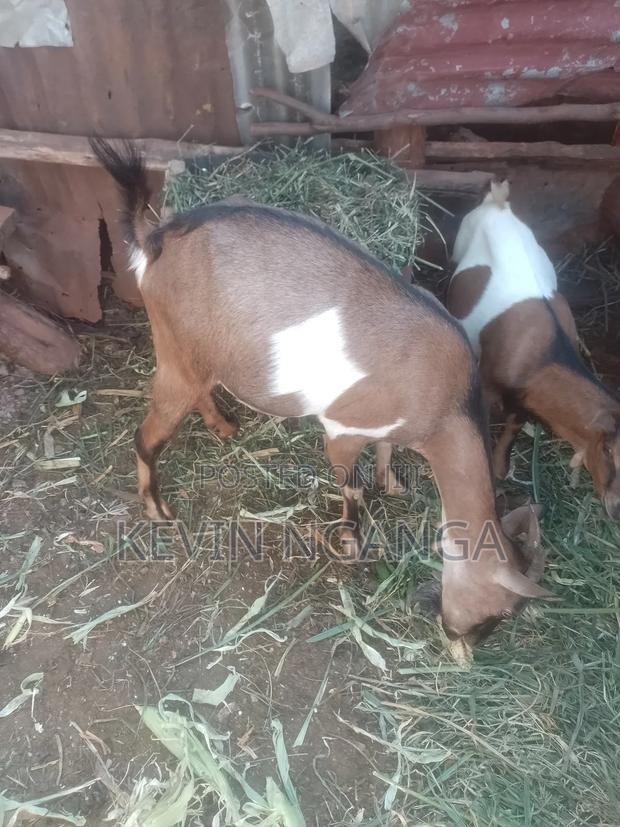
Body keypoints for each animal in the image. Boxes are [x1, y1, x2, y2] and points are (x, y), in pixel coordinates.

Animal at [91, 138, 551, 650]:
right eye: (500, 611)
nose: (460, 638)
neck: (446, 409)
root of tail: (156, 239)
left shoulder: (386, 426)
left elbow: (386, 452)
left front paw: (392, 483)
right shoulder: (342, 428)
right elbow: (351, 487)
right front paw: (351, 543)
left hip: (198, 355)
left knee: (200, 392)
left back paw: (224, 426)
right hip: (173, 349)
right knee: (147, 435)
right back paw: (157, 509)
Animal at [447, 181, 620, 519]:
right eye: (609, 451)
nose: (616, 510)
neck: (544, 354)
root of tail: (499, 203)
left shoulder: (523, 398)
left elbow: (513, 426)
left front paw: (500, 467)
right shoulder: (487, 381)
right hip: (460, 241)